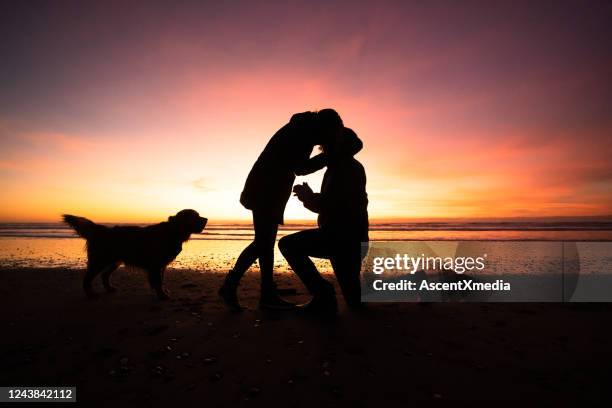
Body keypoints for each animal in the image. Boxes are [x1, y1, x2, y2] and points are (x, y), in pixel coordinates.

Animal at [63, 210, 208, 300]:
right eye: (195, 216)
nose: (206, 219)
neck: (173, 232)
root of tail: (100, 230)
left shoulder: (161, 265)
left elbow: (160, 281)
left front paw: (163, 292)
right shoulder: (155, 265)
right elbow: (157, 282)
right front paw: (162, 296)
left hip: (114, 261)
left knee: (105, 275)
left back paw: (109, 288)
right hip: (99, 260)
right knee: (87, 279)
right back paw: (91, 294)